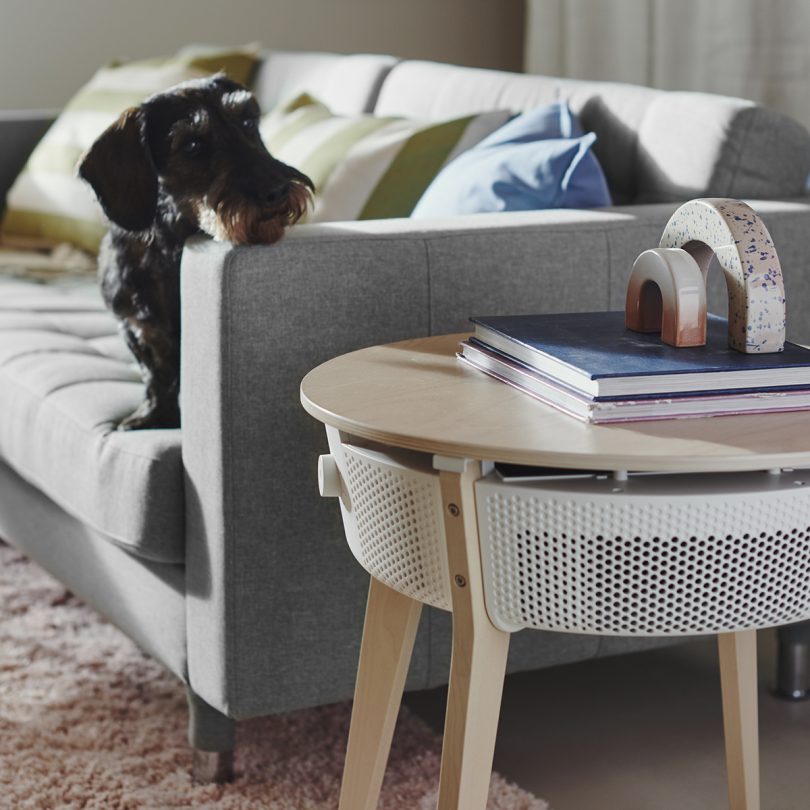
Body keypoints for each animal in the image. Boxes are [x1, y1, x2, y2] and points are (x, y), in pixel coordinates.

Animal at [79, 75, 310, 430]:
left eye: (247, 121)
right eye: (191, 145)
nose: (277, 192)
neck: (171, 249)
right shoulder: (136, 327)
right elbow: (156, 376)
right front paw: (151, 416)